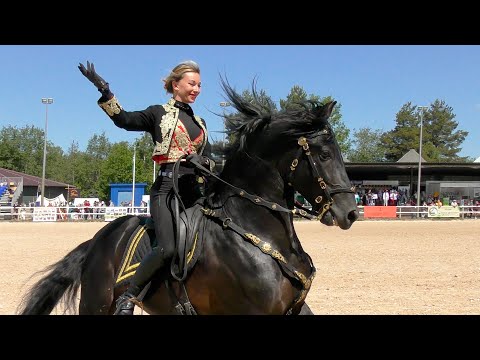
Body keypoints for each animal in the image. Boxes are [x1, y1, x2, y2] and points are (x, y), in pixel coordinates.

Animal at [16, 81, 358, 316]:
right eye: (324, 154)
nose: (351, 212)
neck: (257, 232)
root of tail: (98, 240)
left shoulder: (294, 308)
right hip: (96, 304)